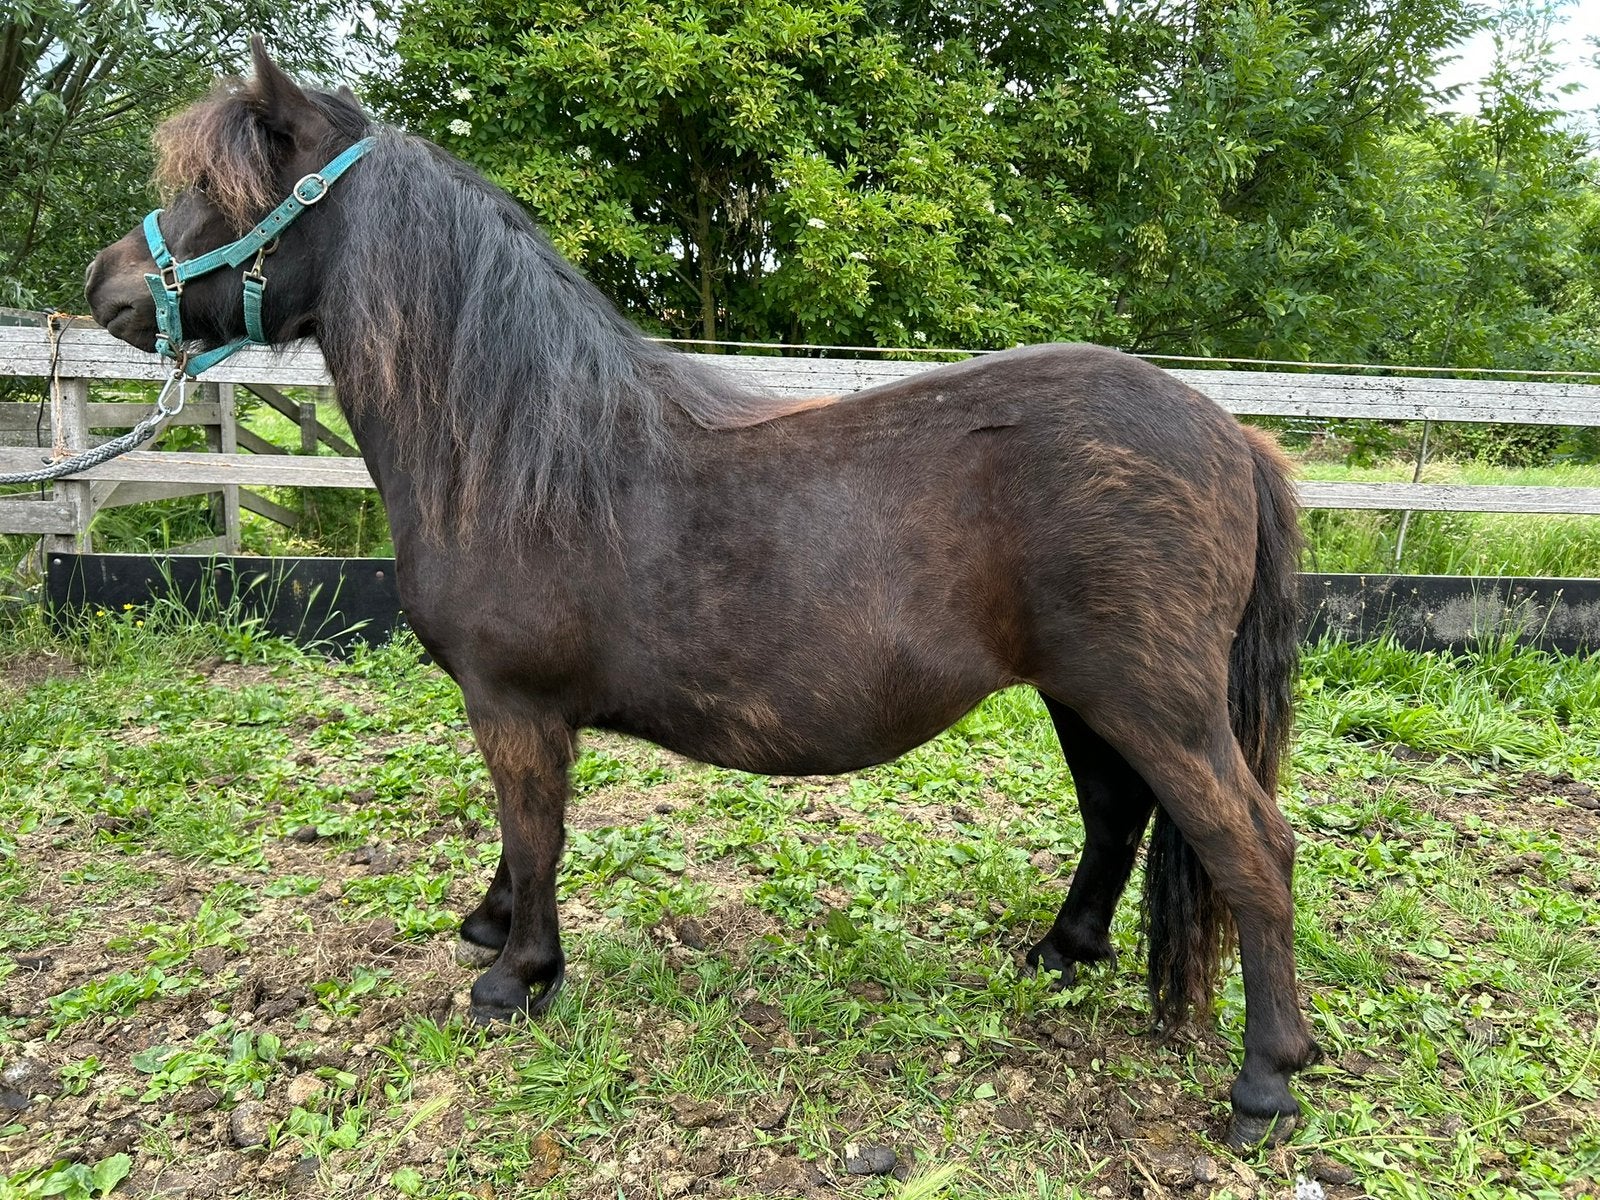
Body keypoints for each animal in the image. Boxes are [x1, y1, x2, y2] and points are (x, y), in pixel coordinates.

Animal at [86, 40, 1321, 1148]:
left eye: (218, 192)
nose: (103, 288)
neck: (516, 448)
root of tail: (1230, 435)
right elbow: (519, 838)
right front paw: (489, 928)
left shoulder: (513, 705)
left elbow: (534, 831)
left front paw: (517, 975)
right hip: (1085, 695)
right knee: (1116, 816)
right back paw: (1062, 953)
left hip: (1155, 702)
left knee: (1253, 851)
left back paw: (1263, 1084)